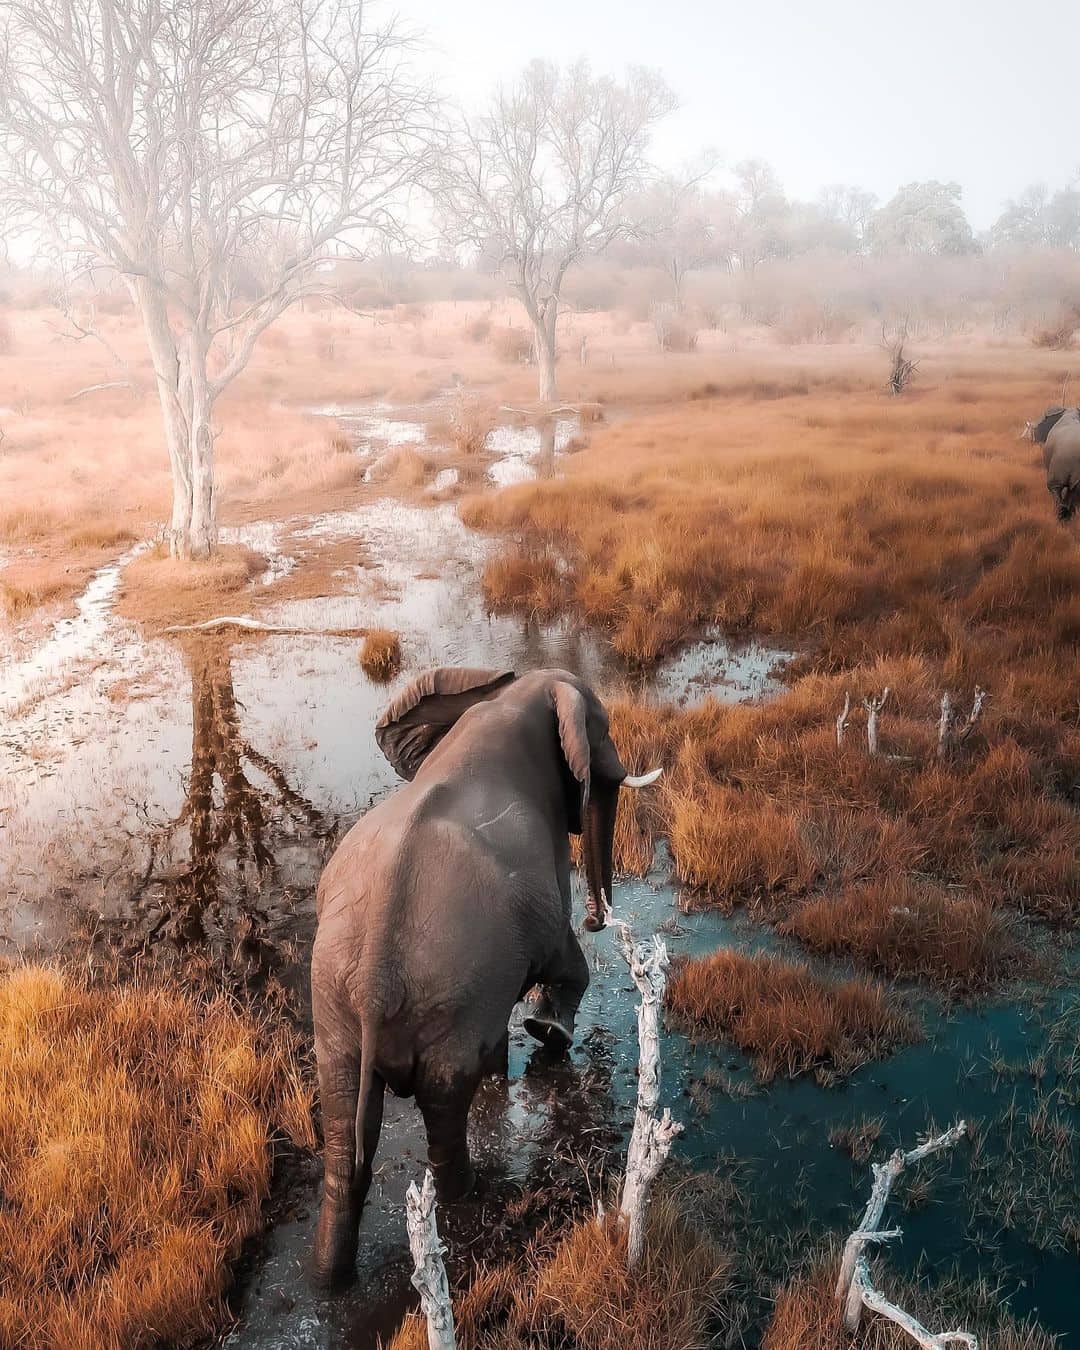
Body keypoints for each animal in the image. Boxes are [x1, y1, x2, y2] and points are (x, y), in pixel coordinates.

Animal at [308, 666, 661, 1289]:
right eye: (603, 728)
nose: (598, 919)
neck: (509, 695)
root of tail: (374, 976)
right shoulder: (542, 889)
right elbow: (564, 956)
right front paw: (549, 1034)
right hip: (444, 993)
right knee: (444, 1101)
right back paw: (471, 1195)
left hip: (337, 1000)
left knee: (344, 1128)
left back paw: (329, 1281)